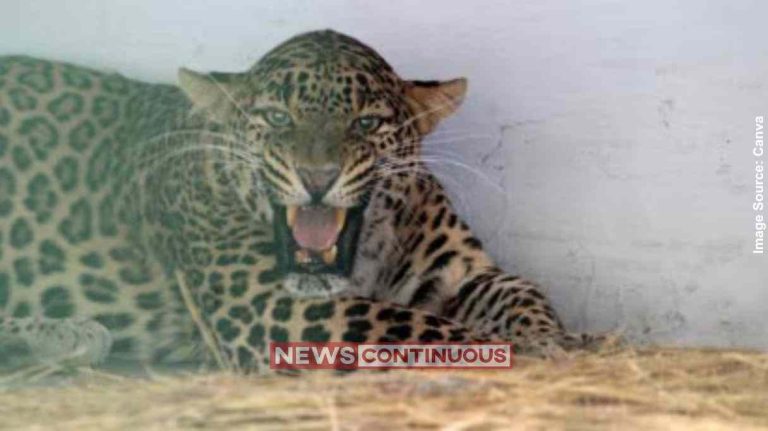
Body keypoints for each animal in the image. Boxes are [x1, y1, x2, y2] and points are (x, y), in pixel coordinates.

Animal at [0, 29, 595, 373]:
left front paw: (557, 341)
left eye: (366, 123)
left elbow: (524, 294)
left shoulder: (460, 276)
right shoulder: (268, 305)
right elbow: (418, 329)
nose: (317, 176)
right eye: (278, 118)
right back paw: (64, 334)